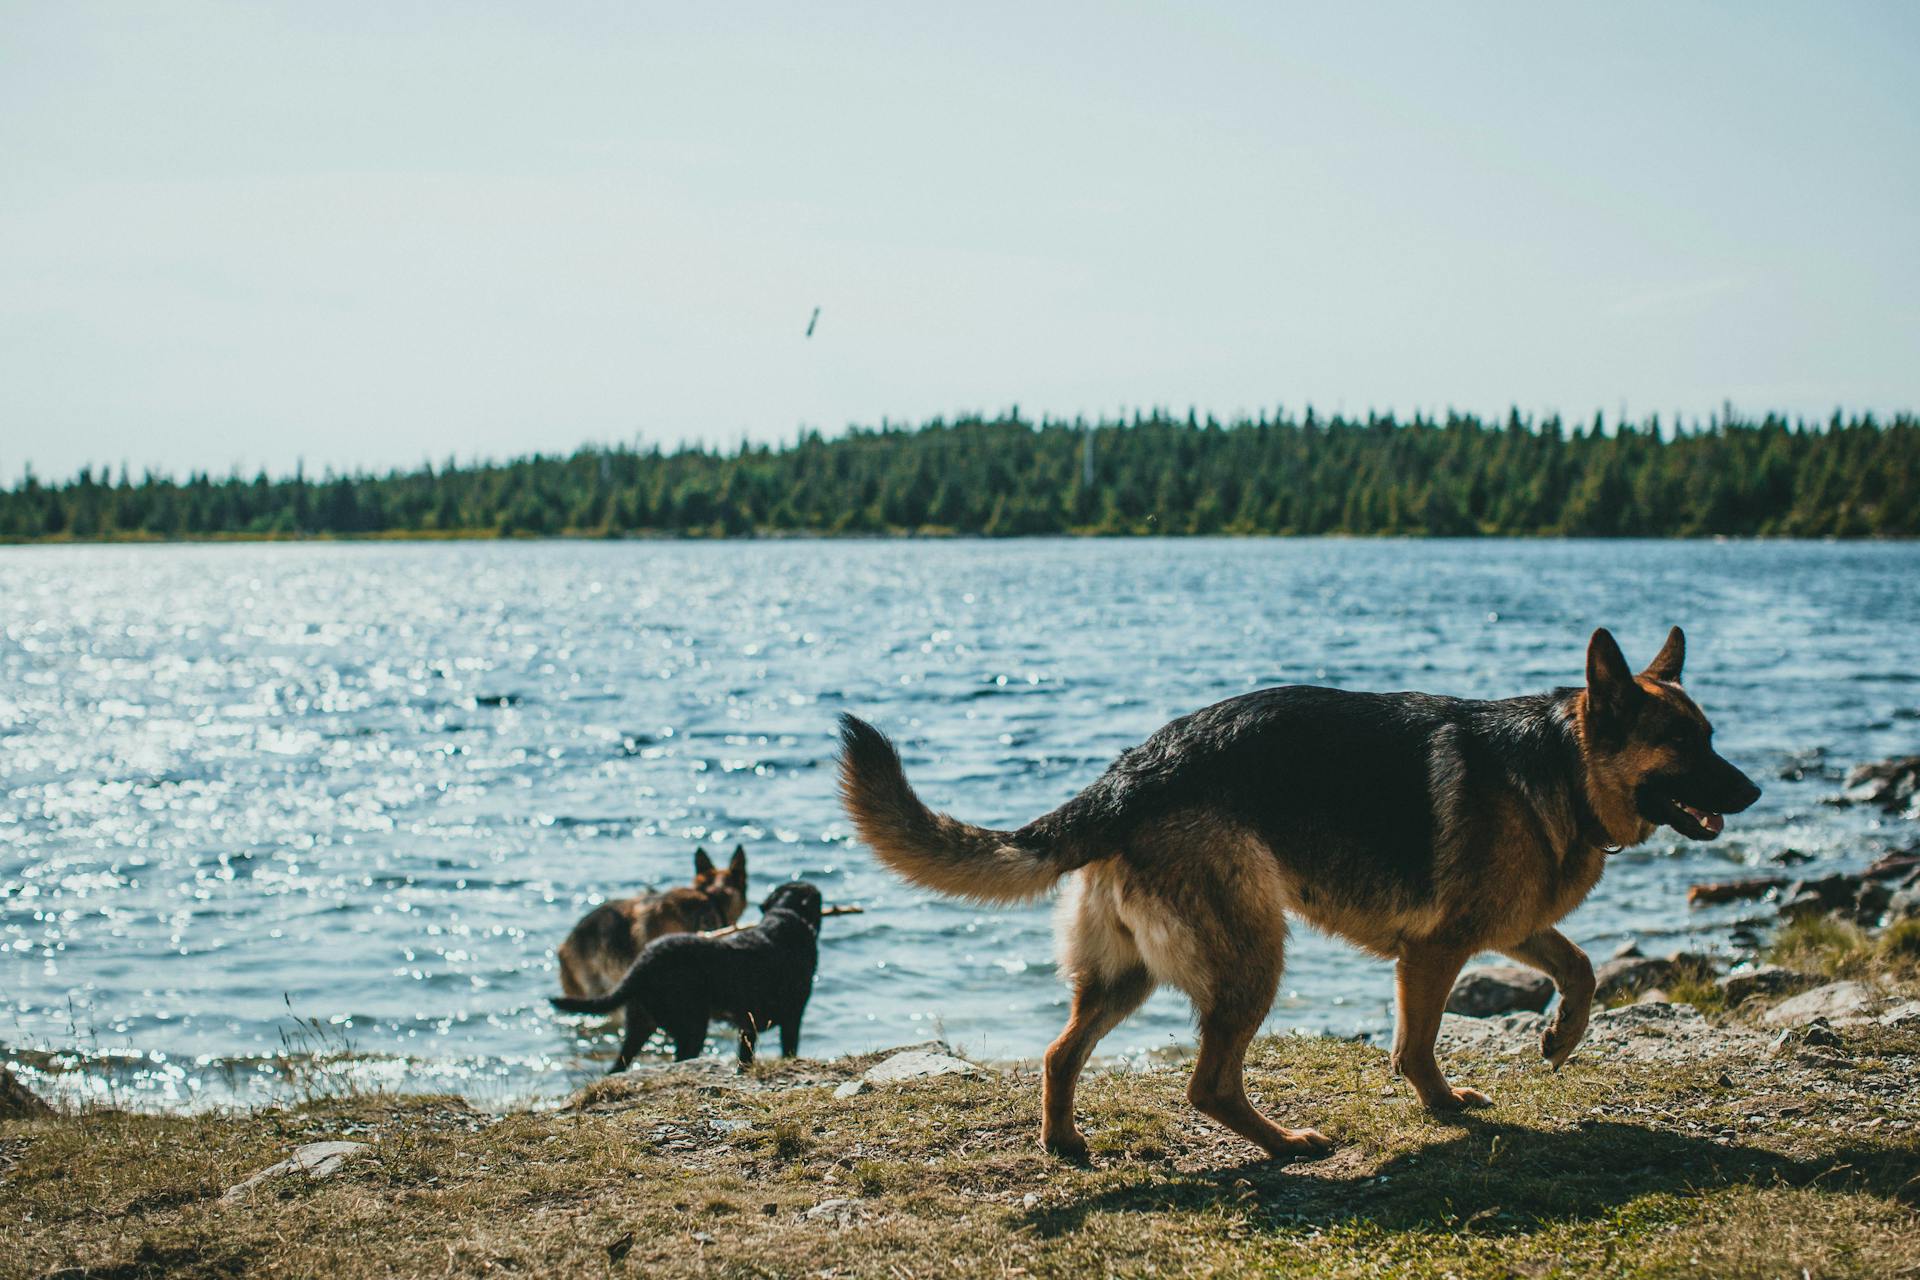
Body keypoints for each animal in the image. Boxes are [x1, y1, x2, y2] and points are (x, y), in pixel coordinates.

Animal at [552, 882, 829, 1074]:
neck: (785, 919)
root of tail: (643, 964)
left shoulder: (747, 1028)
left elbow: (745, 1060)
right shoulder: (792, 1017)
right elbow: (788, 1050)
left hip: (640, 1026)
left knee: (617, 1067)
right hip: (691, 1027)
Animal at [833, 629, 1758, 1159]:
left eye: (1712, 735)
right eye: (1683, 743)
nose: (1750, 790)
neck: (1563, 762)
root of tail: (1132, 773)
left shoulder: (1509, 927)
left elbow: (1584, 970)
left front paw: (1560, 1040)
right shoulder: (1438, 949)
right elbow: (1418, 1046)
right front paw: (1444, 1107)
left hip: (1130, 974)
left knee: (1061, 1054)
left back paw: (1063, 1142)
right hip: (1253, 956)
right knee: (1206, 1085)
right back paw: (1284, 1145)